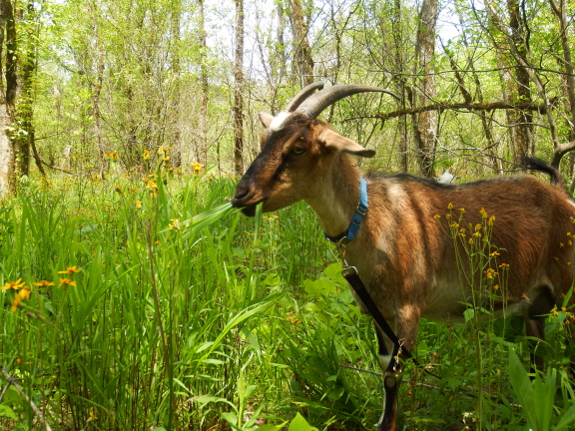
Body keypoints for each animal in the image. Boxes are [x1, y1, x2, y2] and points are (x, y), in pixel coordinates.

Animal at [231, 82, 575, 430]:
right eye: (263, 140)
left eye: (299, 147)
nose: (241, 196)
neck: (373, 219)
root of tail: (562, 194)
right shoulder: (378, 312)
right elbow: (385, 366)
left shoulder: (408, 309)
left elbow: (394, 372)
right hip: (535, 306)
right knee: (538, 355)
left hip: (567, 291)